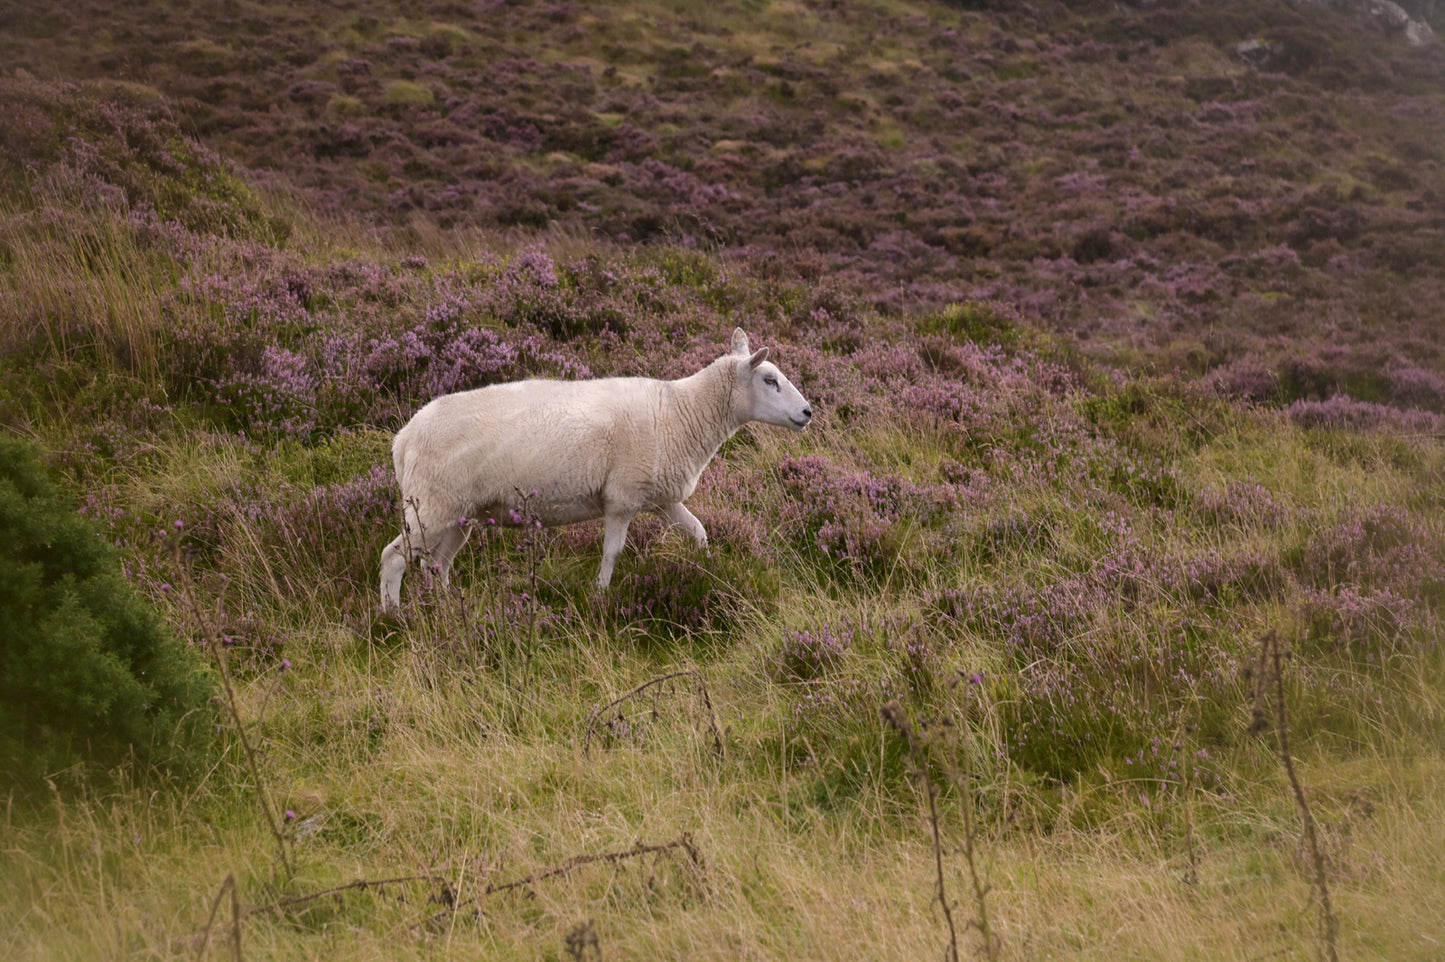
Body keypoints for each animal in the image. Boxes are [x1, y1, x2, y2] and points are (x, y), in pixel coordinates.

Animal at [379, 327, 812, 608]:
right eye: (770, 380)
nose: (808, 412)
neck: (680, 412)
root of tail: (403, 439)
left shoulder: (661, 498)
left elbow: (699, 533)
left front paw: (708, 571)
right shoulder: (622, 497)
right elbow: (612, 552)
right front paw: (601, 594)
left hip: (458, 513)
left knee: (436, 565)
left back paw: (448, 609)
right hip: (431, 505)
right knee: (394, 557)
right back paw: (393, 617)